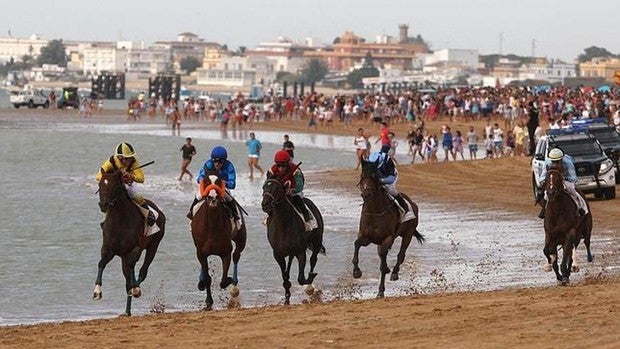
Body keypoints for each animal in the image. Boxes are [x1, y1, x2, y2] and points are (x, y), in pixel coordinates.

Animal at [94, 169, 165, 316]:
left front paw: (136, 289)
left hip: (154, 246)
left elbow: (133, 267)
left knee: (143, 270)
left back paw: (136, 288)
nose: (103, 205)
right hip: (124, 256)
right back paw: (127, 311)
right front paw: (97, 291)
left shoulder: (135, 248)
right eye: (100, 185)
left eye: (114, 186)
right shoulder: (109, 249)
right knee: (128, 278)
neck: (120, 221)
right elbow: (101, 264)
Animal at [191, 170, 247, 308]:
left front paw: (231, 281)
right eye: (206, 181)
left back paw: (234, 284)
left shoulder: (226, 251)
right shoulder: (201, 252)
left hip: (241, 239)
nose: (213, 198)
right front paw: (208, 301)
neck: (212, 226)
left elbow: (223, 280)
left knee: (236, 255)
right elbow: (207, 278)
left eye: (219, 181)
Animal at [356, 159, 424, 298]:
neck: (374, 211)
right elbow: (357, 244)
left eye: (374, 177)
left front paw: (381, 291)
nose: (366, 193)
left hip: (408, 234)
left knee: (400, 255)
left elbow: (382, 263)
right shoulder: (366, 237)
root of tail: (412, 203)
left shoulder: (387, 238)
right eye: (362, 176)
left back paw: (394, 272)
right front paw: (356, 271)